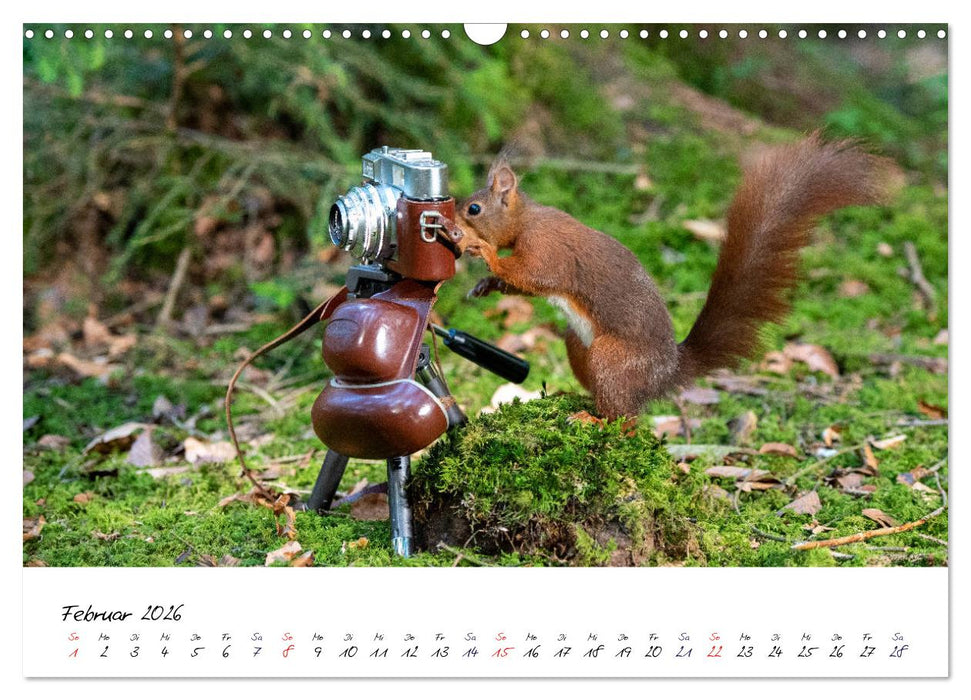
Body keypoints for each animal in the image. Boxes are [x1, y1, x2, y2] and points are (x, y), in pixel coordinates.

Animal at [444, 133, 896, 420]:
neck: (526, 220)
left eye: (474, 209)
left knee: (626, 421)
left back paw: (594, 420)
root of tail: (665, 373)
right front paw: (485, 285)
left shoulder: (547, 248)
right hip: (579, 344)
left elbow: (531, 274)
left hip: (612, 357)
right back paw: (575, 399)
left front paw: (484, 253)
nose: (451, 224)